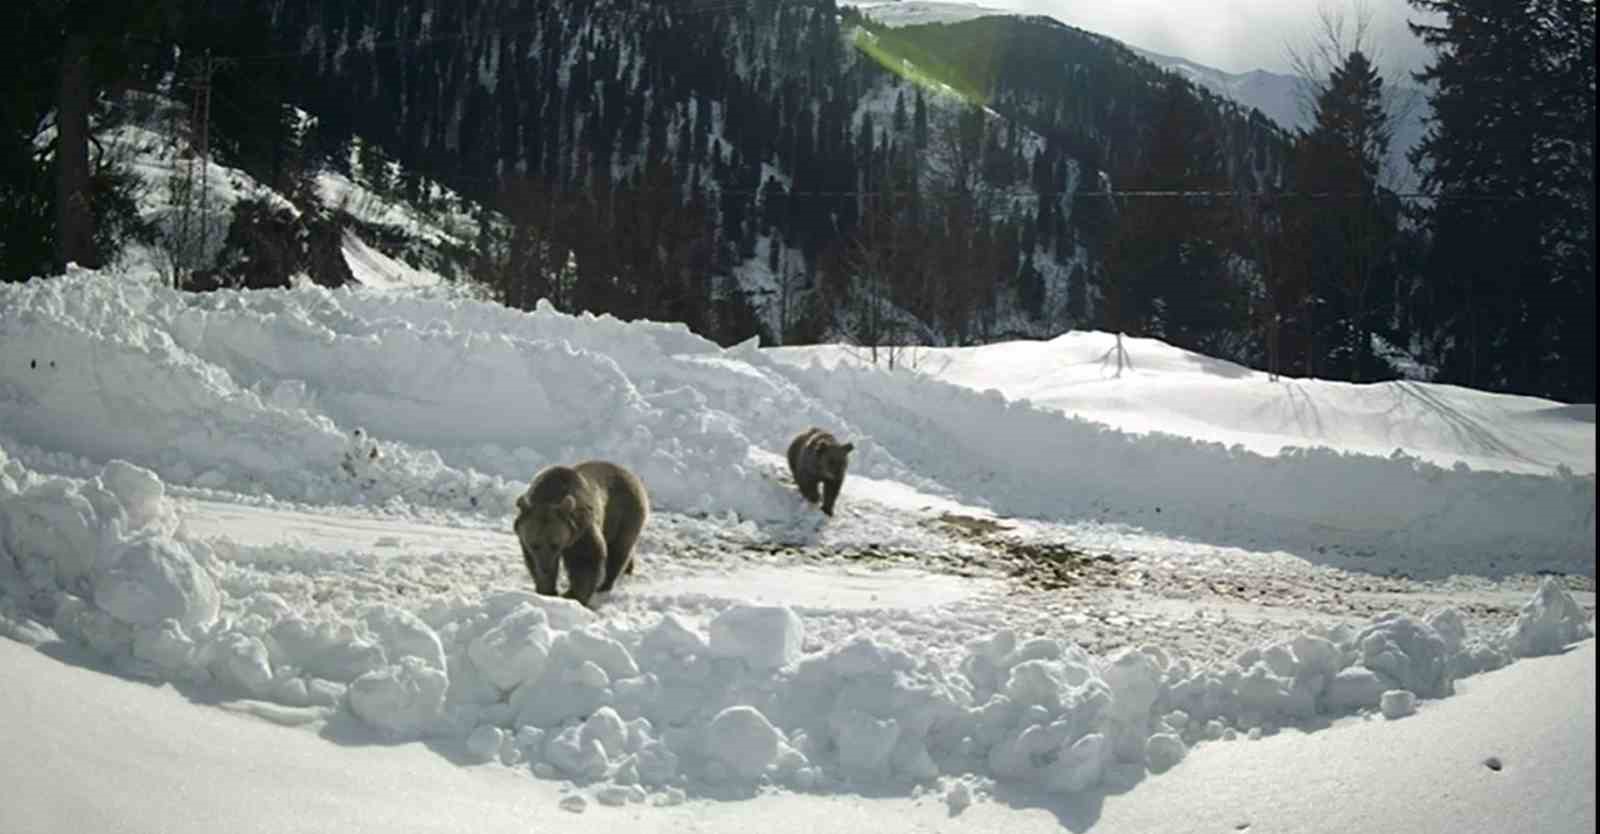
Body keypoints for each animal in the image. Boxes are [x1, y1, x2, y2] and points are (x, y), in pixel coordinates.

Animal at [512, 457, 649, 608]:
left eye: (555, 544)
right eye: (534, 545)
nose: (545, 567)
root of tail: (631, 474)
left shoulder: (581, 532)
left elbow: (585, 560)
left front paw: (572, 595)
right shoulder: (525, 539)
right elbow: (532, 563)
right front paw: (546, 589)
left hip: (624, 513)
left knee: (619, 549)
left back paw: (605, 584)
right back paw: (629, 568)